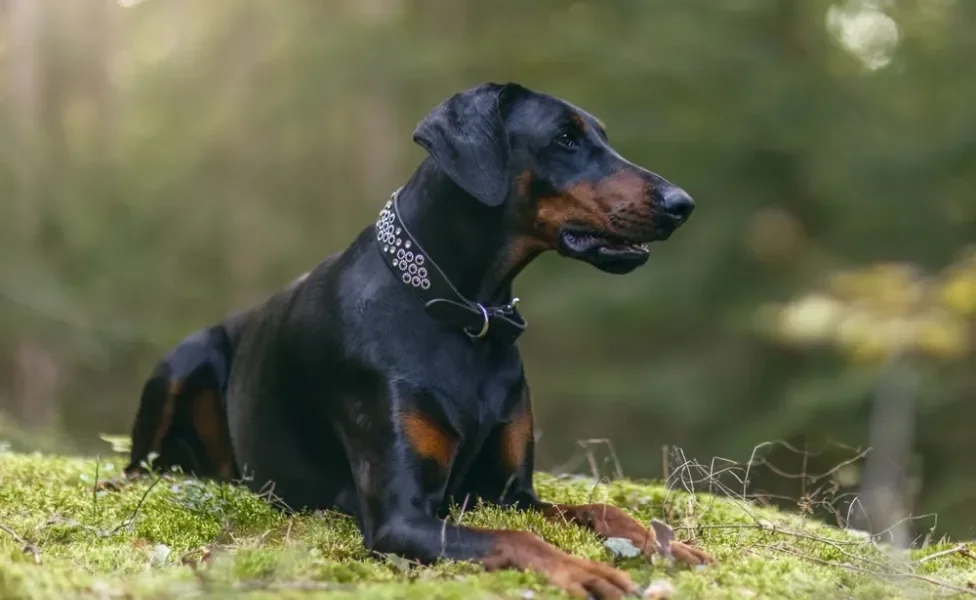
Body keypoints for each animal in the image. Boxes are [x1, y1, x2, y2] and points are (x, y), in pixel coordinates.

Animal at [114, 83, 712, 596]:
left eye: (602, 137)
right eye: (564, 138)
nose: (683, 203)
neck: (464, 315)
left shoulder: (507, 492)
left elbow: (597, 510)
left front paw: (666, 543)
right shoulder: (401, 518)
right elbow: (517, 538)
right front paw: (583, 571)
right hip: (185, 360)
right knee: (138, 466)